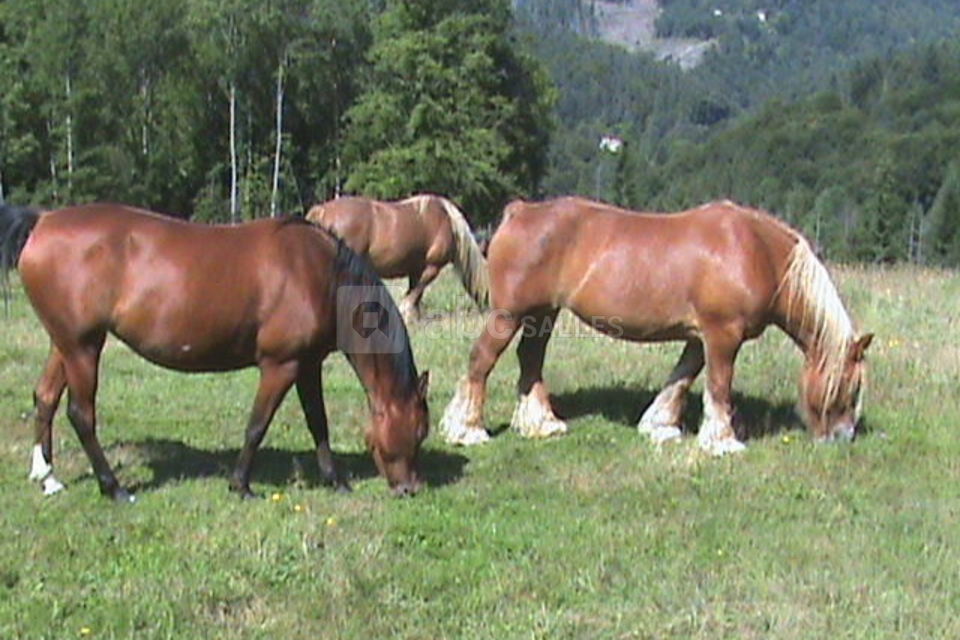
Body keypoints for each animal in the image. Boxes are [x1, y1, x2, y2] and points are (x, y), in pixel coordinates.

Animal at [0, 203, 429, 501]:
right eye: (417, 433)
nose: (411, 489)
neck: (319, 273)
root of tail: (43, 220)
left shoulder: (307, 365)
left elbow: (318, 424)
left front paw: (335, 480)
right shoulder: (281, 365)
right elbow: (257, 425)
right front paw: (241, 485)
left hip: (67, 343)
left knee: (45, 397)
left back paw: (48, 477)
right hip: (83, 347)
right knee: (81, 414)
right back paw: (114, 487)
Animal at [306, 194, 489, 322]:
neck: (447, 222)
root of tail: (323, 211)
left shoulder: (416, 269)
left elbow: (416, 292)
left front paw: (414, 319)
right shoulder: (432, 267)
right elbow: (416, 291)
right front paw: (405, 311)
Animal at [439, 197, 873, 454]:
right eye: (849, 387)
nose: (843, 438)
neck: (755, 251)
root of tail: (521, 211)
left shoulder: (699, 338)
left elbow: (681, 379)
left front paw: (660, 426)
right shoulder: (723, 336)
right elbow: (719, 387)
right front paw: (722, 442)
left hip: (542, 313)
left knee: (530, 360)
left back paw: (542, 424)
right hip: (509, 314)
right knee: (481, 360)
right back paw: (467, 430)